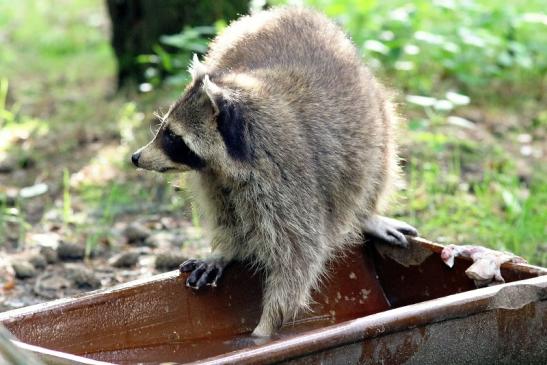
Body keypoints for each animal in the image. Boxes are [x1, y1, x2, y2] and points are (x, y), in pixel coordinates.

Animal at [132, 6, 416, 336]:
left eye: (172, 136)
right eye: (164, 130)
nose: (136, 157)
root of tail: (292, 10)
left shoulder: (285, 178)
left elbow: (299, 252)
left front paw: (265, 328)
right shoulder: (213, 178)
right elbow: (227, 216)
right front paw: (226, 250)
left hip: (374, 112)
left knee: (378, 161)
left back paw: (368, 213)